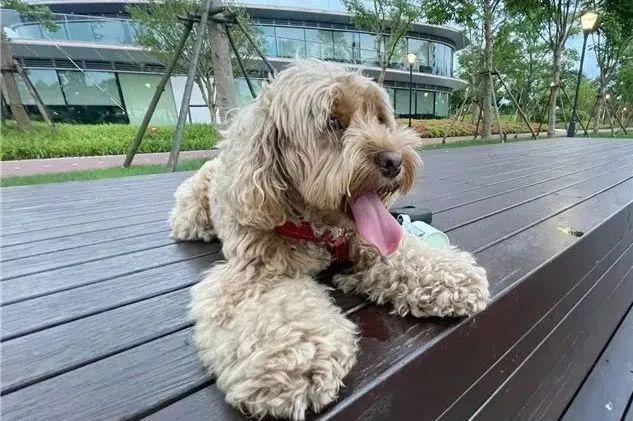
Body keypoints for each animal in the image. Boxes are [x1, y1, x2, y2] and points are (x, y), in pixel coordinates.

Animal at [170, 60, 489, 420]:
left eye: (380, 119)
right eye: (333, 122)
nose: (394, 160)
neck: (319, 228)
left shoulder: (368, 242)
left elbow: (407, 255)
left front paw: (451, 276)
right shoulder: (254, 273)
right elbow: (277, 311)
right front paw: (295, 362)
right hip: (192, 212)